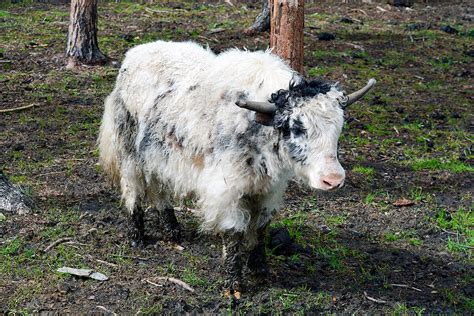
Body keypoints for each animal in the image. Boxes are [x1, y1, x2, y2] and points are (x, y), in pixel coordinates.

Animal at [98, 40, 376, 298]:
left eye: (339, 127)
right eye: (296, 127)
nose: (333, 180)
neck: (259, 129)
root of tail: (134, 55)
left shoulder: (268, 190)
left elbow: (260, 229)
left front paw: (260, 270)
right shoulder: (228, 191)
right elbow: (234, 233)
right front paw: (233, 285)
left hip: (158, 156)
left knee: (159, 189)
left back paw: (173, 231)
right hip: (129, 153)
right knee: (133, 190)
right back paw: (137, 236)